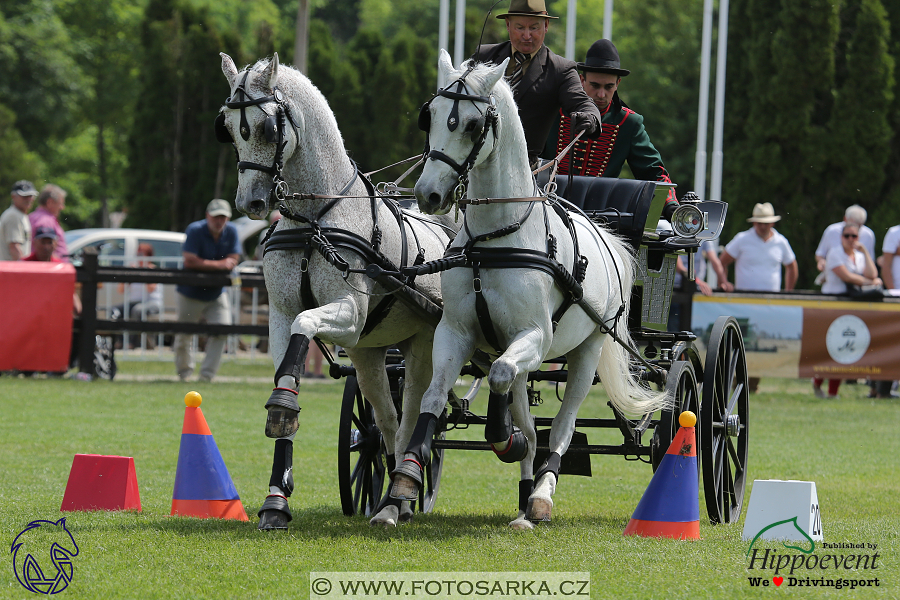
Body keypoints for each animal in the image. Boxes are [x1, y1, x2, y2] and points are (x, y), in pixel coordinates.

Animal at [217, 52, 458, 528]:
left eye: (267, 128)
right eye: (230, 128)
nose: (250, 203)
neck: (316, 221)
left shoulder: (349, 313)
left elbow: (307, 324)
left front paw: (281, 406)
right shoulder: (280, 316)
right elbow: (288, 362)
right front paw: (276, 500)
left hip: (422, 346)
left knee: (413, 415)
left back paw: (399, 500)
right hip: (369, 354)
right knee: (385, 421)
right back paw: (387, 497)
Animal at [390, 51, 672, 528]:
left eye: (472, 124)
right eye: (429, 116)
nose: (428, 194)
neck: (495, 241)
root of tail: (609, 236)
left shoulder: (535, 337)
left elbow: (503, 381)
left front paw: (506, 440)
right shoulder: (456, 331)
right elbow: (435, 396)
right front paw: (405, 481)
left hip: (587, 350)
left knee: (562, 424)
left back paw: (540, 494)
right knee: (523, 406)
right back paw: (524, 497)